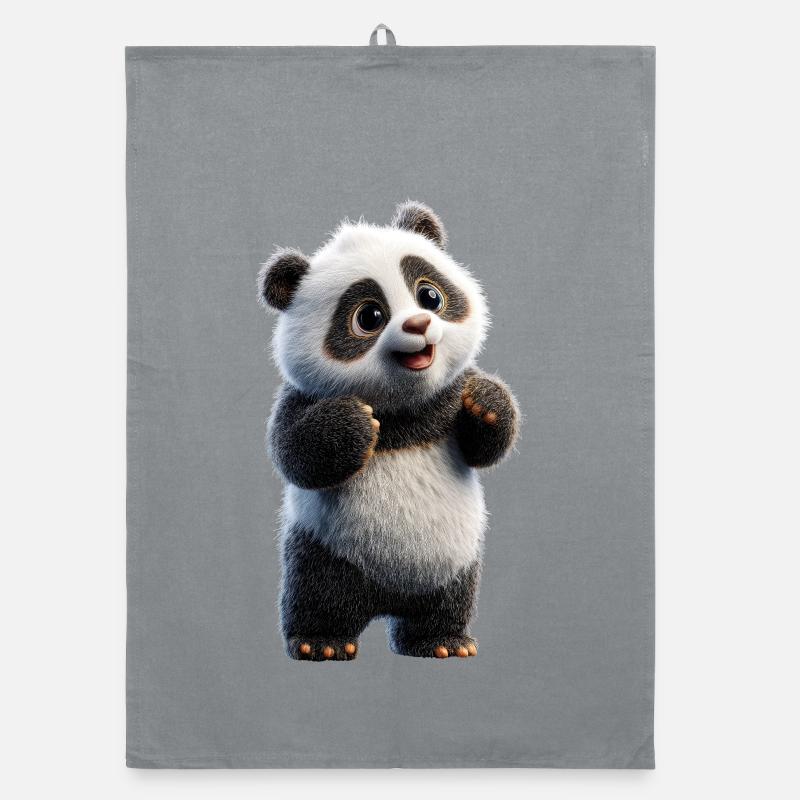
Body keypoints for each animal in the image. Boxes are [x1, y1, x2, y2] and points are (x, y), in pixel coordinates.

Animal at [258, 201, 519, 661]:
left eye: (430, 295)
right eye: (369, 316)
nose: (418, 324)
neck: (403, 407)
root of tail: (386, 601)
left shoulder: (446, 398)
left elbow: (484, 450)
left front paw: (486, 402)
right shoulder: (301, 398)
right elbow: (294, 455)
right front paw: (354, 425)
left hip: (454, 560)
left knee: (448, 600)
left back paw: (442, 641)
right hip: (325, 548)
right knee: (315, 590)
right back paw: (320, 642)